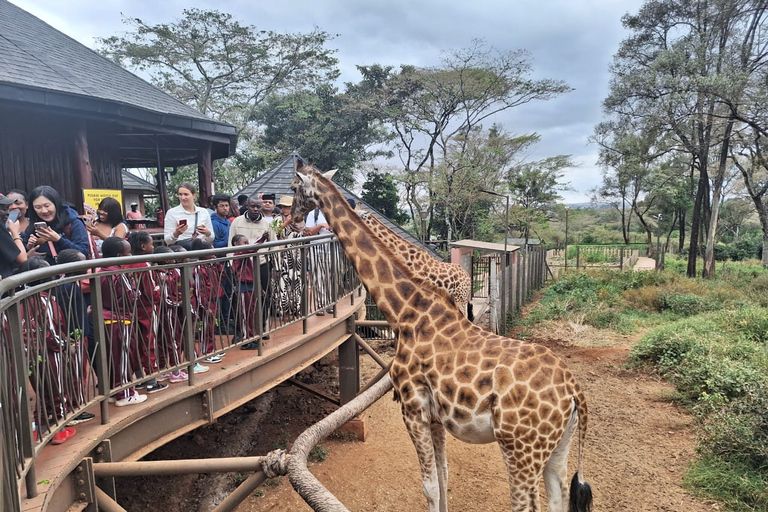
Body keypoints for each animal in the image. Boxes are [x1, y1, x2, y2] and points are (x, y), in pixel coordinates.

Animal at [292, 165, 592, 512]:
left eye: (295, 188)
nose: (292, 220)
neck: (404, 311)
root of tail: (574, 392)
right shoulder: (436, 418)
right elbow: (444, 474)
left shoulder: (413, 409)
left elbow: (430, 486)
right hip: (558, 447)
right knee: (559, 497)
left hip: (519, 448)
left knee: (526, 504)